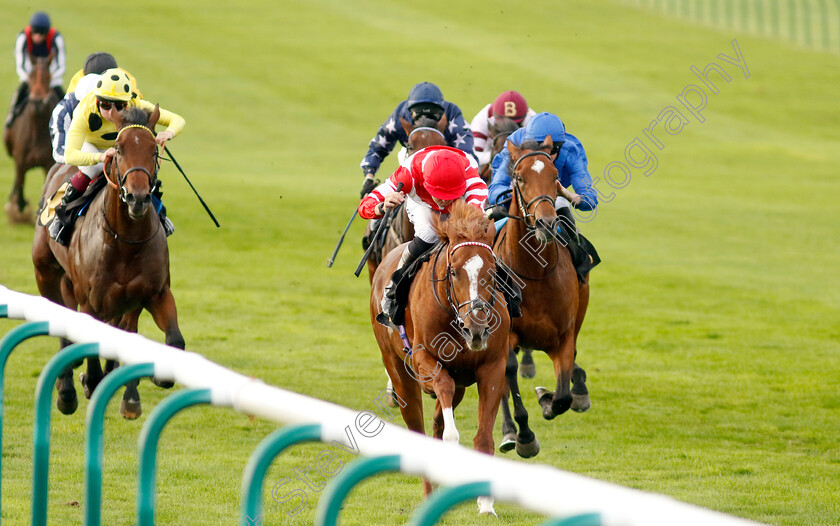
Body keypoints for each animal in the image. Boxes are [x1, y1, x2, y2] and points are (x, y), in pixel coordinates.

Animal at [3, 53, 57, 225]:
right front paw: (18, 209)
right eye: (31, 75)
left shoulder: (48, 165)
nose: (38, 101)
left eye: (48, 76)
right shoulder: (20, 162)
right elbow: (20, 189)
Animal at [32, 106, 182, 420]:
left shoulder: (153, 294)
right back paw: (67, 390)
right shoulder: (92, 301)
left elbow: (171, 340)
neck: (125, 240)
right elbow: (90, 350)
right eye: (119, 149)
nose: (138, 198)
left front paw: (138, 392)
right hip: (46, 274)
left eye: (154, 150)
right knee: (62, 326)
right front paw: (89, 381)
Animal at [372, 201, 506, 516]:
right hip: (399, 373)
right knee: (418, 422)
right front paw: (452, 442)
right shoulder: (423, 357)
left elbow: (484, 437)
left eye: (493, 271)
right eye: (454, 272)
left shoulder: (493, 366)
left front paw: (486, 503)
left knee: (437, 418)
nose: (477, 328)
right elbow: (442, 386)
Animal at [492, 136, 592, 458]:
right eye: (520, 177)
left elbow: (562, 396)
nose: (546, 223)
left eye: (555, 176)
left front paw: (547, 399)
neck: (534, 272)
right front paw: (524, 436)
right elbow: (508, 375)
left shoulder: (563, 336)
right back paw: (509, 432)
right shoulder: (506, 335)